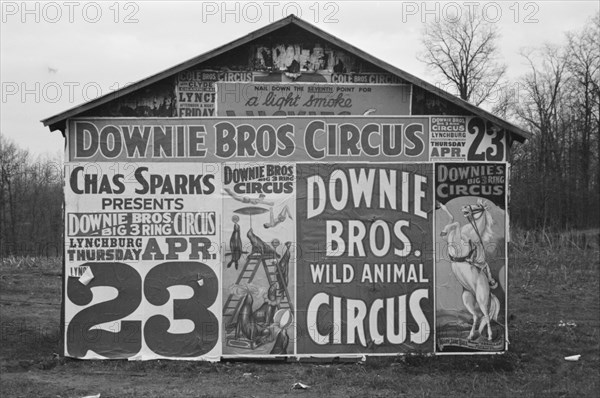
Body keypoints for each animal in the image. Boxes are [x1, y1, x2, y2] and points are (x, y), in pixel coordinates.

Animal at [438, 201, 500, 340]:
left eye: (478, 207)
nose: (464, 207)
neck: (469, 235)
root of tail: (490, 294)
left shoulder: (457, 245)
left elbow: (456, 223)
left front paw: (444, 230)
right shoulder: (449, 239)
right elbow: (452, 219)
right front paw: (442, 208)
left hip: (482, 300)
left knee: (486, 316)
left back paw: (489, 336)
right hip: (468, 299)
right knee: (477, 316)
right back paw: (470, 336)